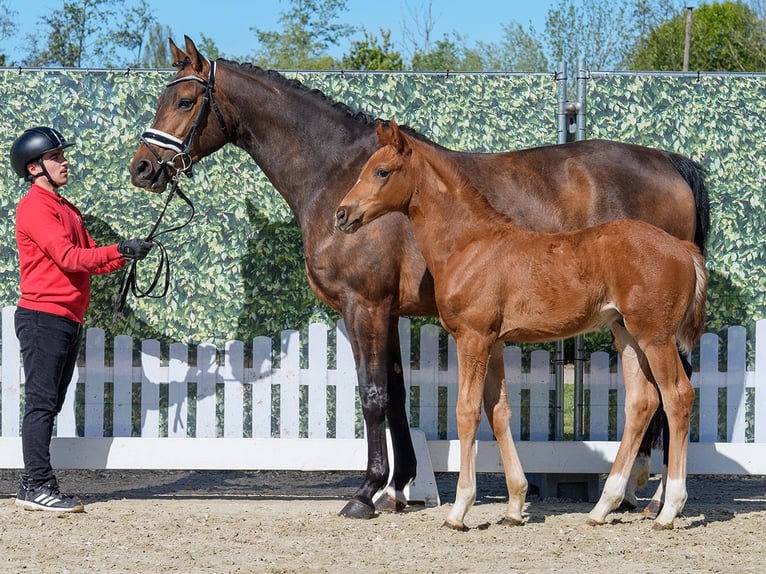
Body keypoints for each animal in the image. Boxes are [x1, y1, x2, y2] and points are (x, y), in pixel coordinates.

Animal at [335, 120, 706, 530]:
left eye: (382, 172)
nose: (342, 214)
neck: (471, 244)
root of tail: (683, 249)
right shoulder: (495, 342)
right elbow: (499, 411)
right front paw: (514, 506)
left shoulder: (473, 337)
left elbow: (467, 412)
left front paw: (459, 510)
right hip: (627, 336)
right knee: (642, 402)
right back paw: (602, 507)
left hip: (655, 336)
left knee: (677, 396)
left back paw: (667, 509)